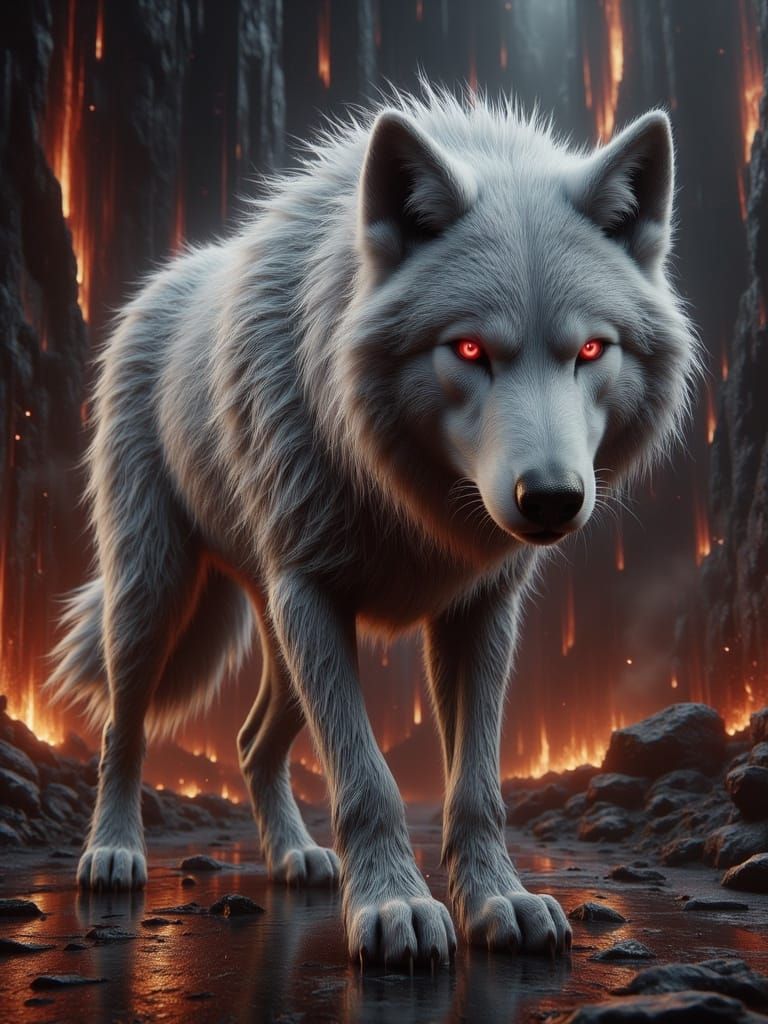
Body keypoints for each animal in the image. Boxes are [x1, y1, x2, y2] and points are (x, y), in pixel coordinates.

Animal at [48, 86, 697, 966]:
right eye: (469, 350)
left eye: (592, 350)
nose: (552, 500)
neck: (408, 499)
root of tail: (162, 281)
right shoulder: (314, 596)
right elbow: (368, 782)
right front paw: (395, 908)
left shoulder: (479, 613)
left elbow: (476, 788)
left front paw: (499, 902)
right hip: (159, 597)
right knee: (124, 725)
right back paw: (114, 854)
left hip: (280, 635)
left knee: (251, 742)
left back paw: (294, 858)